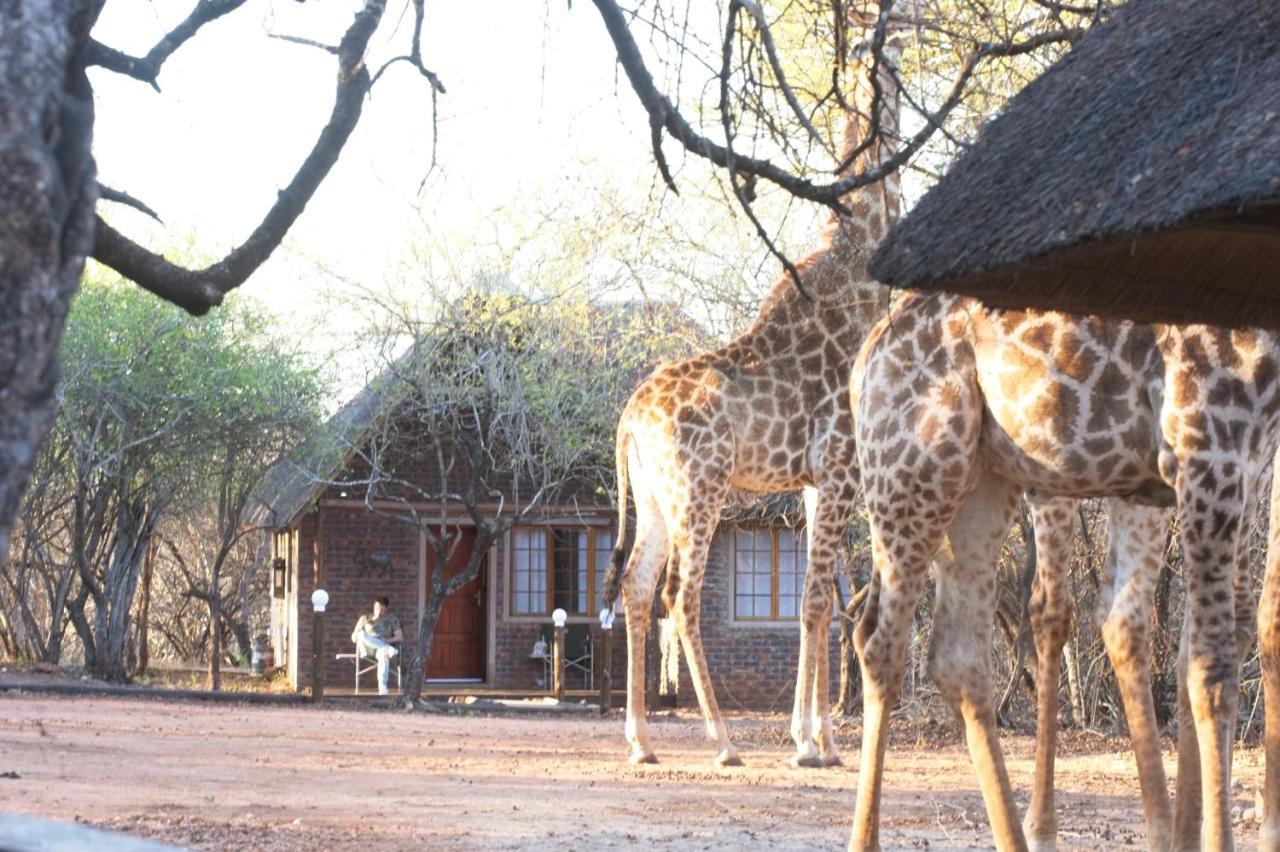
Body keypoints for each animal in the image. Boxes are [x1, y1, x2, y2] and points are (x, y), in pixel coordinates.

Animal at [601, 8, 911, 762]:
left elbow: (816, 602)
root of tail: (628, 418)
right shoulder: (837, 468)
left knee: (637, 588)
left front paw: (814, 736)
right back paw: (721, 740)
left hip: (654, 499)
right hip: (701, 489)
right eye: (881, 35)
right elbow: (818, 601)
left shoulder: (813, 480)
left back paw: (641, 741)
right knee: (679, 597)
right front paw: (812, 744)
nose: (904, 42)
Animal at [844, 294, 1274, 849]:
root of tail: (866, 357)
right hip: (913, 474)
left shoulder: (1248, 462)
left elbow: (1213, 643)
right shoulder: (1211, 445)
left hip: (981, 485)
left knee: (956, 655)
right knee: (882, 645)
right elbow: (1211, 669)